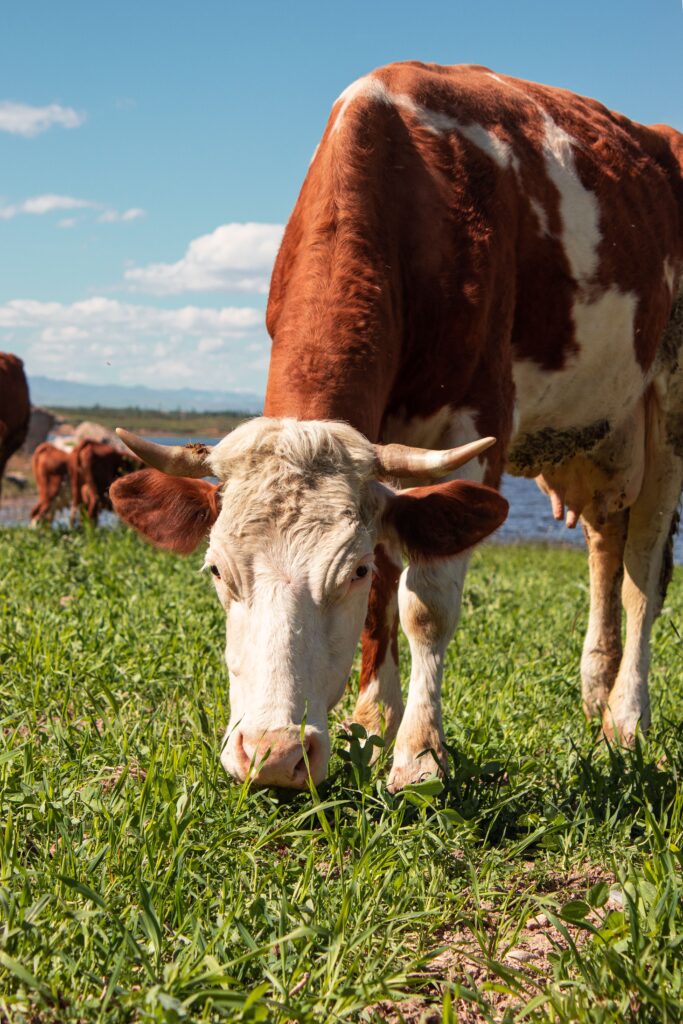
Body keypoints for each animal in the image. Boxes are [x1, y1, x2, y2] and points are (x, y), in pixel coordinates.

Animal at [111, 63, 683, 791]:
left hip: (669, 409)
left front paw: (419, 757)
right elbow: (388, 585)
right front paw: (370, 722)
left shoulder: (478, 419)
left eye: (346, 572)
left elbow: (423, 602)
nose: (272, 755)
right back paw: (595, 690)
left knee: (641, 573)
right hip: (599, 433)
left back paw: (626, 719)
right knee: (607, 544)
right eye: (216, 570)